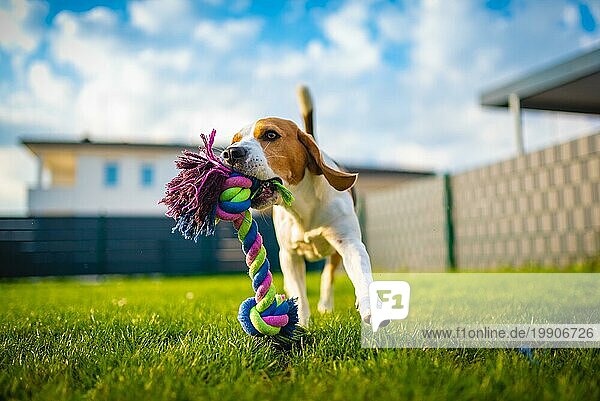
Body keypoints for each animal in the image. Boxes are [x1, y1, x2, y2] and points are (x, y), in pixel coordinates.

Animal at [223, 115, 372, 324]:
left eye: (270, 134)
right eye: (234, 141)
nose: (230, 153)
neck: (303, 206)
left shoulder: (349, 243)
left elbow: (361, 273)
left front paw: (370, 306)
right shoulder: (289, 255)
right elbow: (299, 293)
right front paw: (300, 323)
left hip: (334, 254)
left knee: (328, 276)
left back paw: (326, 306)